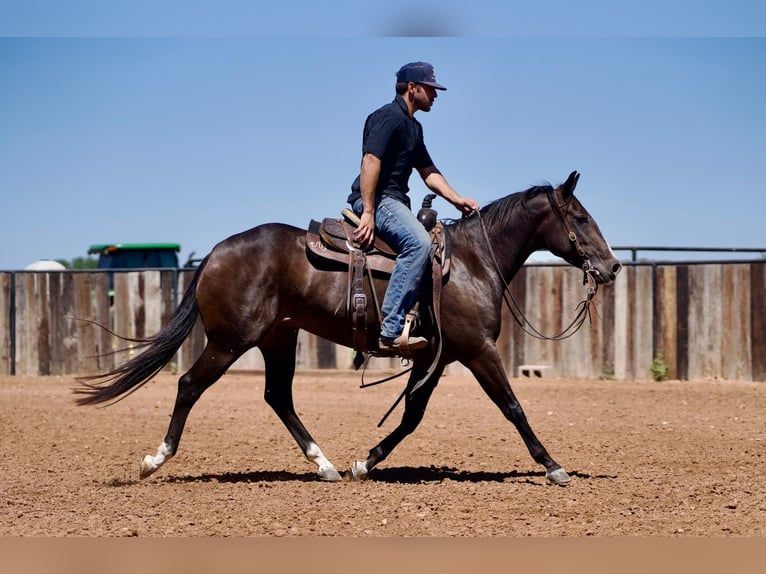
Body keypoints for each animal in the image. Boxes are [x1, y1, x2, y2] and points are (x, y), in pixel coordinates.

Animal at [75, 170, 620, 486]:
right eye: (580, 216)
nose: (612, 267)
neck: (470, 262)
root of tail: (215, 253)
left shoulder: (434, 356)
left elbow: (411, 417)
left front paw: (365, 461)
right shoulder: (476, 350)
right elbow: (512, 406)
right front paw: (553, 466)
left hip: (279, 338)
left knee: (278, 397)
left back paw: (326, 465)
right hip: (230, 341)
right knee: (190, 385)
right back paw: (154, 460)